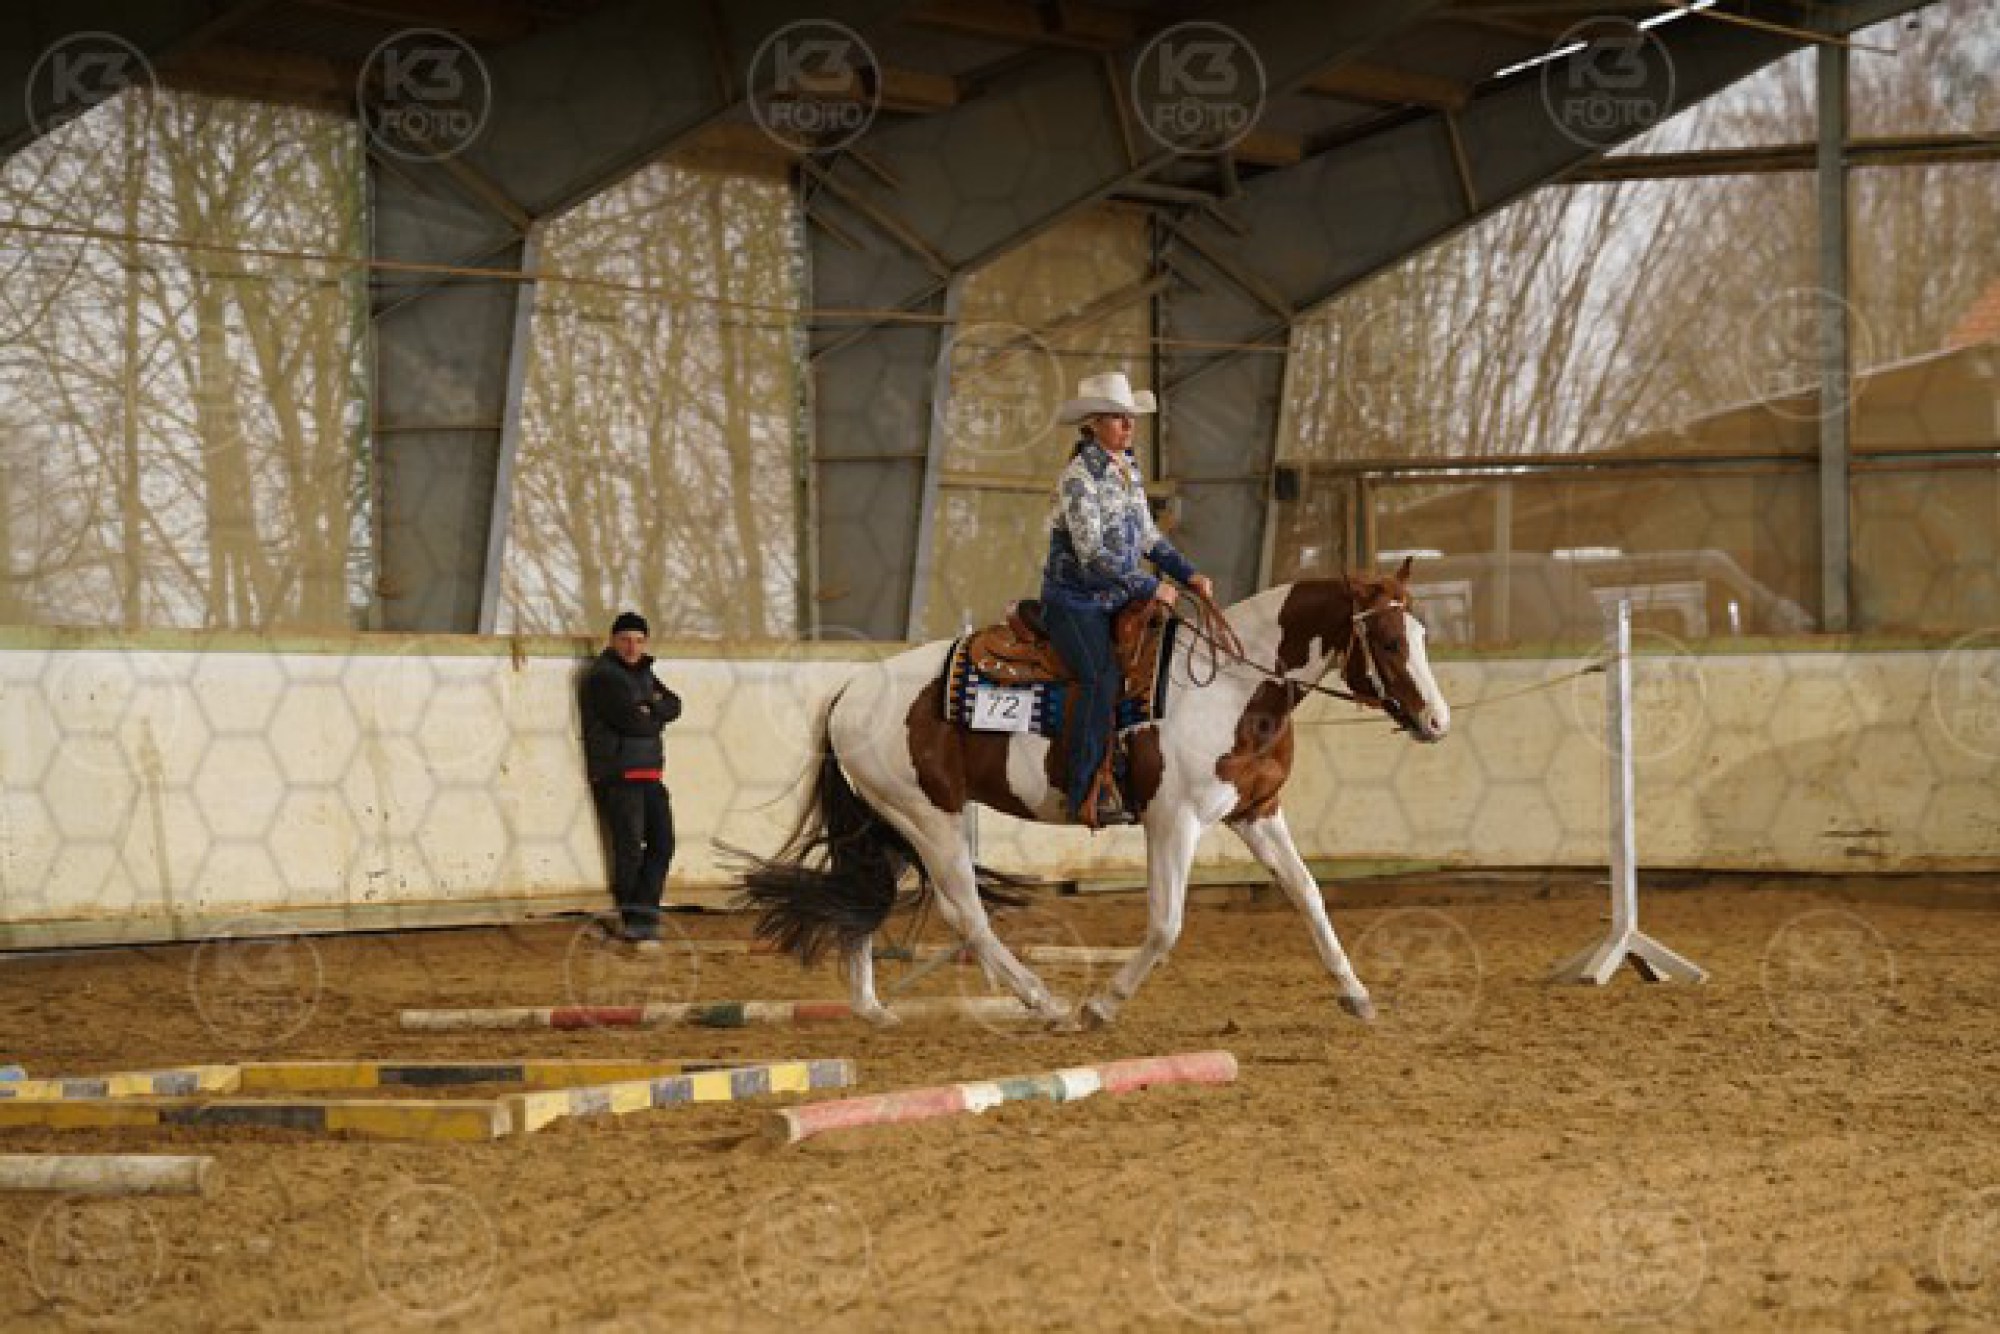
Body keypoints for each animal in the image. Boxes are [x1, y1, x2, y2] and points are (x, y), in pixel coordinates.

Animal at [737, 559, 1451, 1028]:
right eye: (1390, 640)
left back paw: (872, 1009)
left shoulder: (1255, 812)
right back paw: (1045, 1002)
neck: (1231, 687)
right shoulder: (1173, 821)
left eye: (1421, 635)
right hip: (929, 818)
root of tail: (849, 691)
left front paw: (1356, 994)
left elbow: (1307, 894)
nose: (1437, 721)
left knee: (865, 897)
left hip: (886, 823)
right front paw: (1102, 1005)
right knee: (965, 913)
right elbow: (1166, 924)